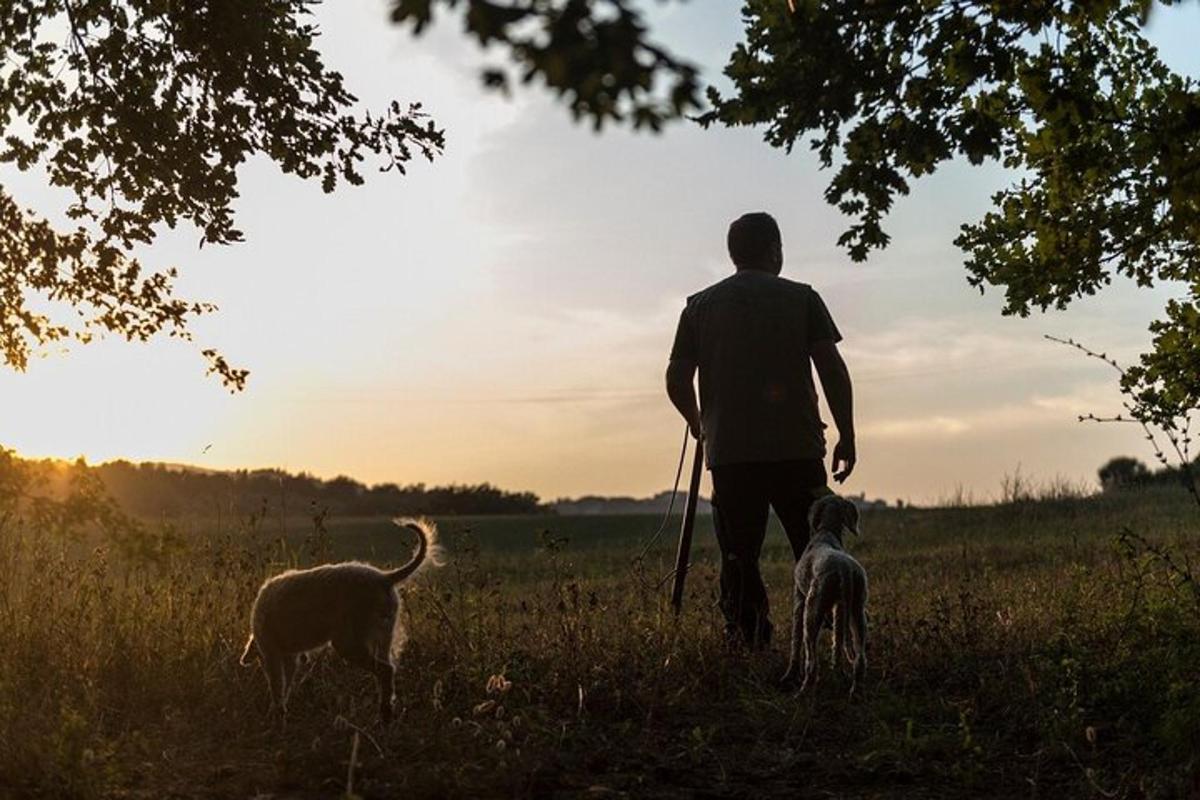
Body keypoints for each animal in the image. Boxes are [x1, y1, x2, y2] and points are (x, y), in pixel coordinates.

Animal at [237, 520, 441, 724]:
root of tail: (384, 578)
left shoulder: (272, 654)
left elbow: (277, 686)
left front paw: (276, 712)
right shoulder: (289, 658)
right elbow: (286, 684)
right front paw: (281, 709)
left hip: (349, 643)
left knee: (385, 670)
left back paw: (384, 713)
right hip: (383, 637)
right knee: (387, 671)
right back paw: (386, 713)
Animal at [782, 494, 868, 695]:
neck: (826, 532)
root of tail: (845, 570)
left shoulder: (799, 599)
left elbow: (795, 640)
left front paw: (790, 675)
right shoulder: (838, 607)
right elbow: (837, 640)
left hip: (812, 611)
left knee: (812, 661)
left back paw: (803, 692)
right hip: (856, 610)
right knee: (860, 657)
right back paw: (854, 690)